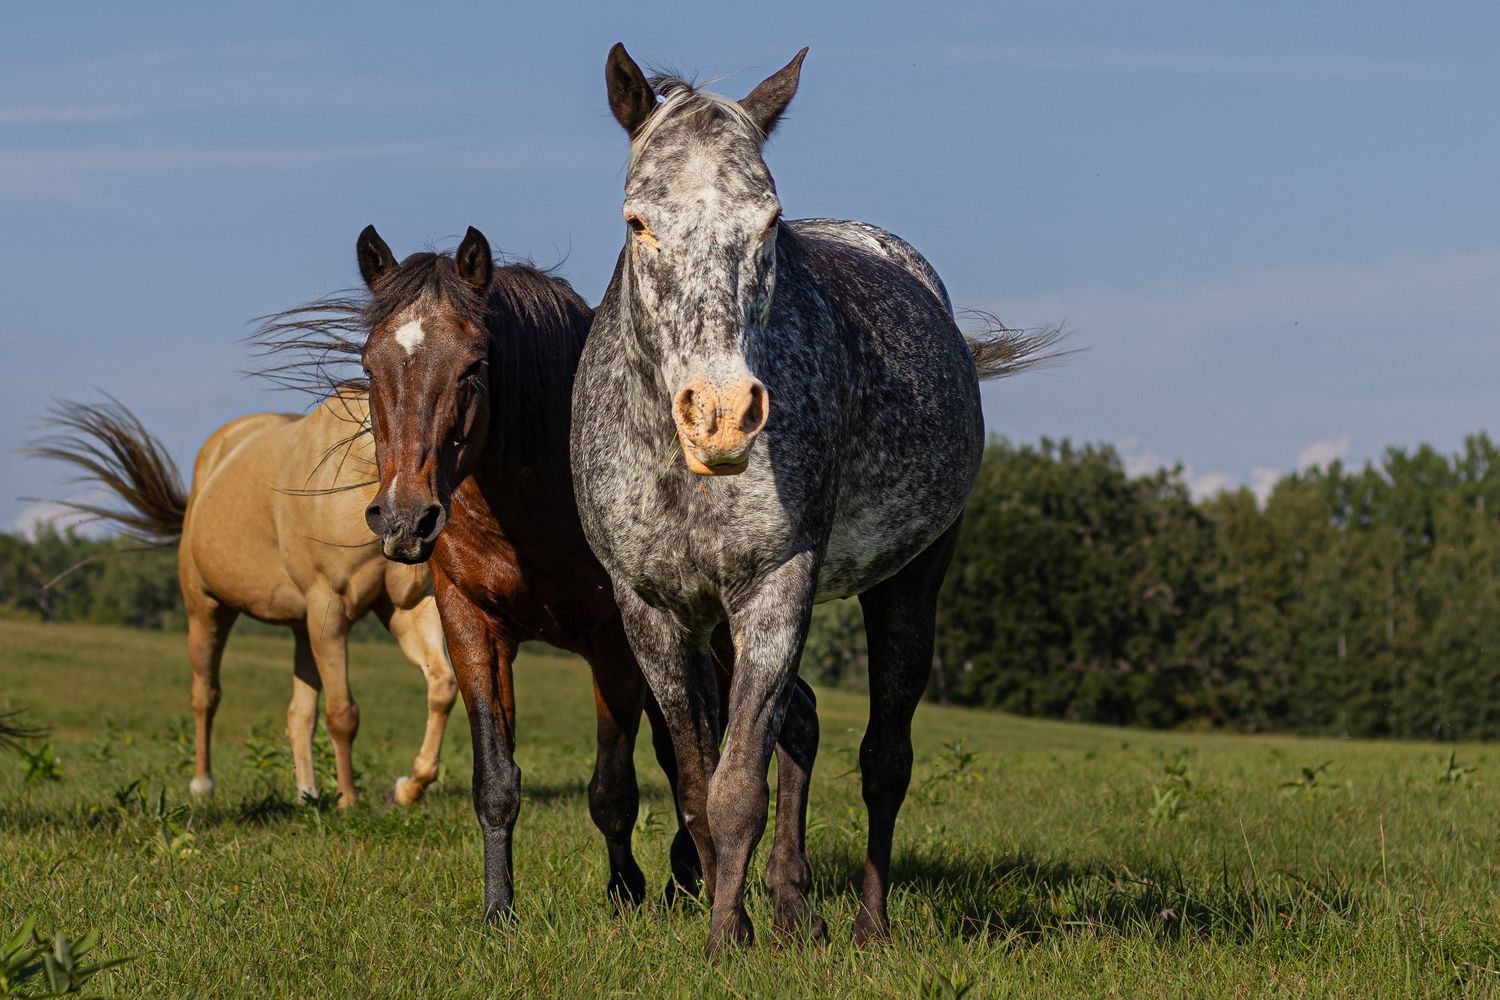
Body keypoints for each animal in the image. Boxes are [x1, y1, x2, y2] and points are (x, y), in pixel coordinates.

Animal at [26, 392, 457, 808]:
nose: (420, 523)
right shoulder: (331, 609)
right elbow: (342, 714)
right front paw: (349, 801)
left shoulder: (407, 607)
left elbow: (442, 687)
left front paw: (408, 788)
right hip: (208, 611)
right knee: (205, 696)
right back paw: (203, 786)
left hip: (304, 629)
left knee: (299, 713)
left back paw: (307, 794)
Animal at [263, 224, 822, 925]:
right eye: (369, 366)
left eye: (474, 366)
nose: (404, 519)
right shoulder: (472, 627)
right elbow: (496, 782)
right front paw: (498, 910)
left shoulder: (614, 644)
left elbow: (615, 788)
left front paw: (625, 892)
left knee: (772, 727)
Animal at [572, 45, 1061, 952]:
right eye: (638, 221)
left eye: (769, 223)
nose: (721, 413)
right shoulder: (652, 612)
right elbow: (696, 783)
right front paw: (739, 921)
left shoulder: (776, 589)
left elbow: (738, 787)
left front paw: (726, 940)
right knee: (799, 728)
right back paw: (795, 906)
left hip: (908, 585)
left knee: (883, 760)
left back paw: (866, 922)